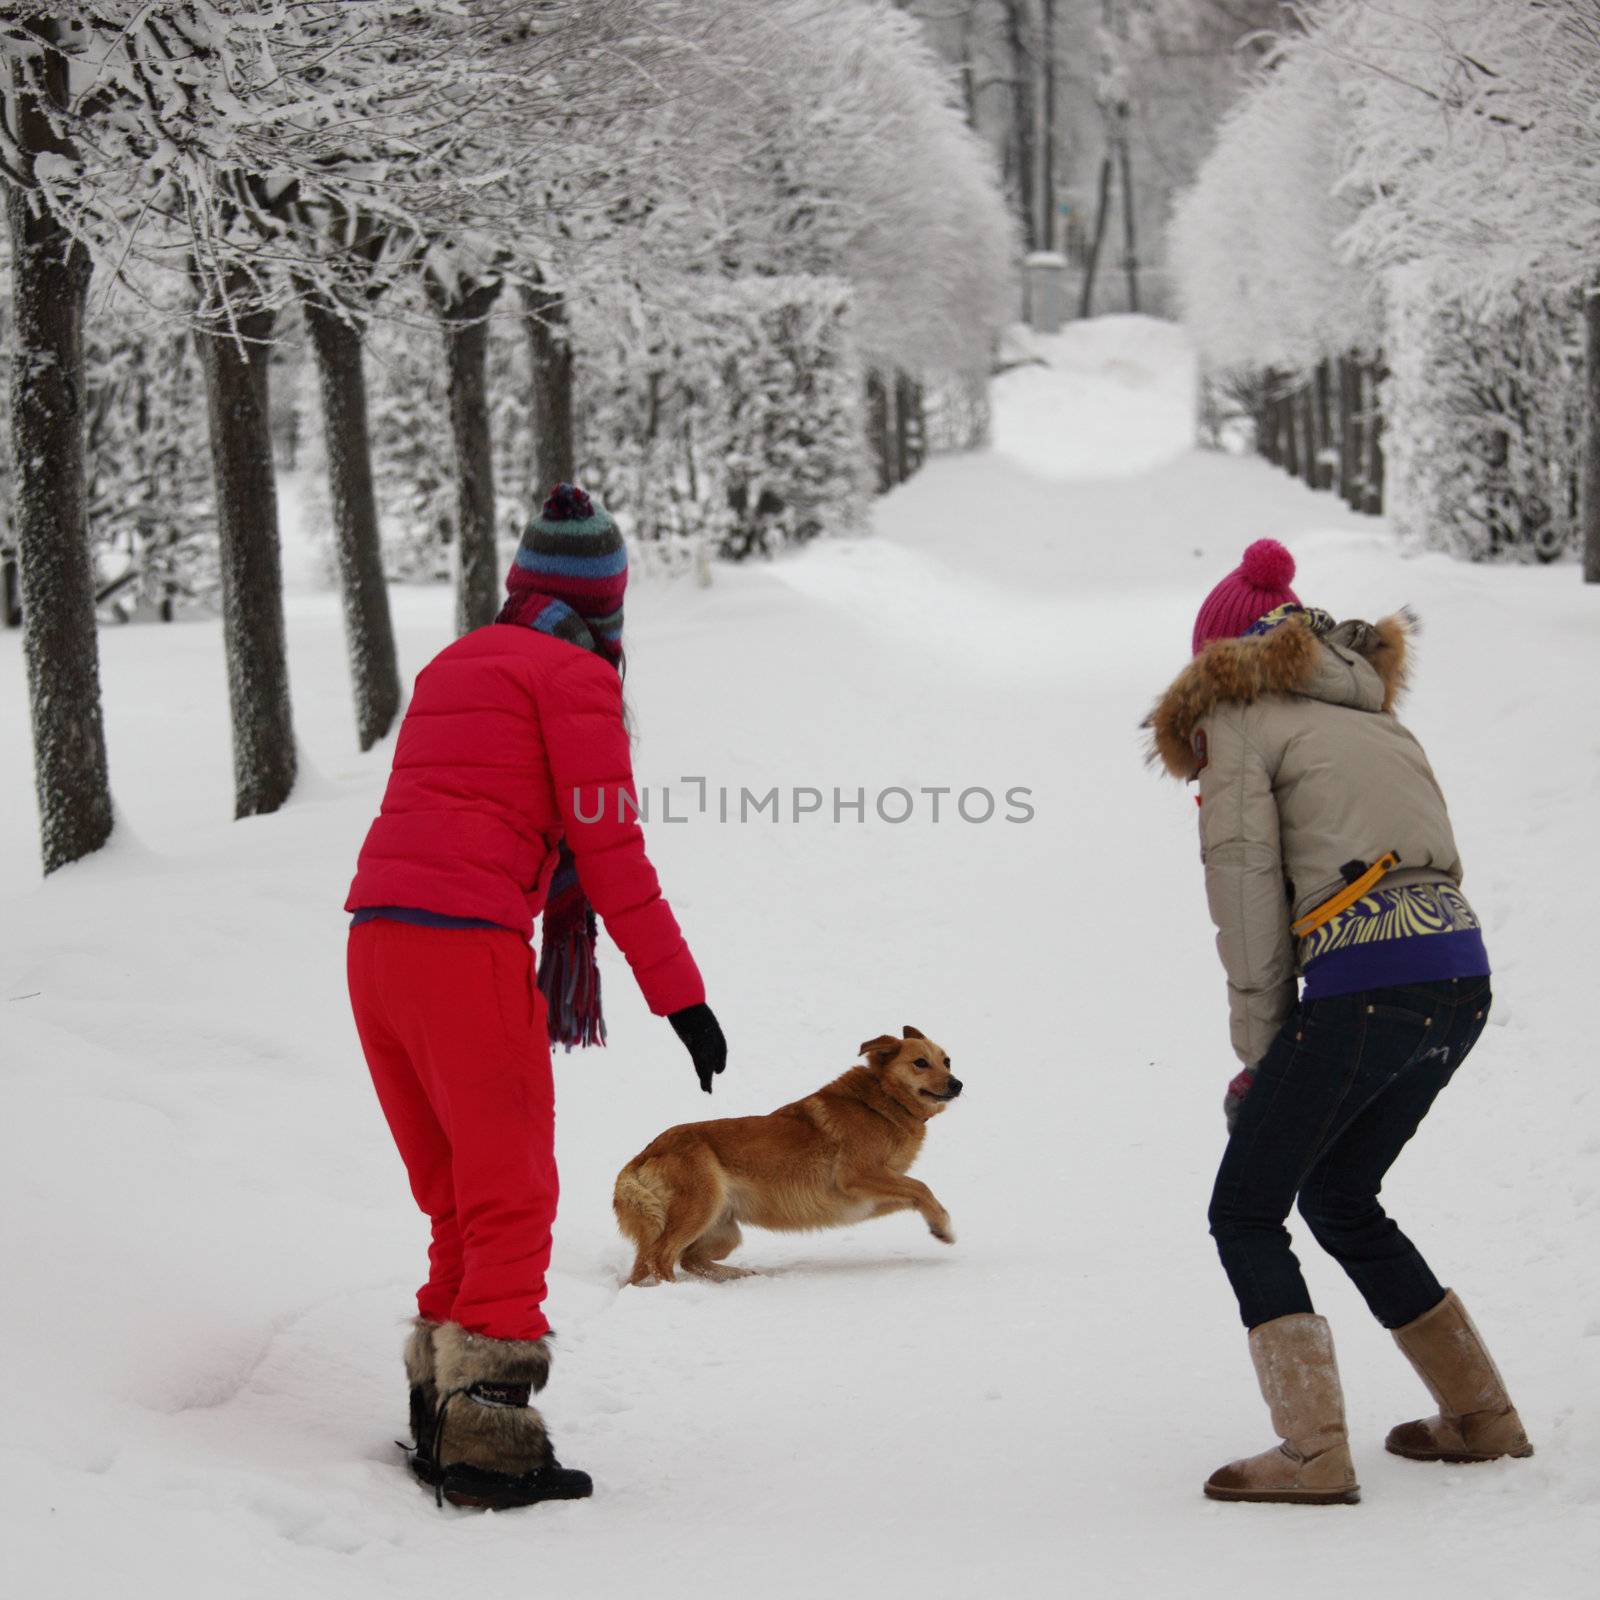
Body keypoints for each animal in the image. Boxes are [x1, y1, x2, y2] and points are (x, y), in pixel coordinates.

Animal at [611, 1024, 960, 1286]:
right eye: (920, 1063)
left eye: (947, 1061)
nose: (958, 1084)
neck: (883, 1101)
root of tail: (644, 1153)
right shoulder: (857, 1176)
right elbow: (921, 1187)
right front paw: (945, 1226)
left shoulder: (867, 1197)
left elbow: (917, 1194)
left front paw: (938, 1227)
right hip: (700, 1207)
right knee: (660, 1258)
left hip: (724, 1231)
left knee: (684, 1259)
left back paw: (737, 1276)